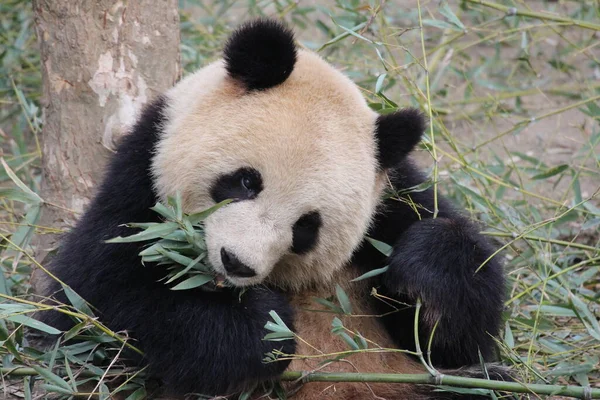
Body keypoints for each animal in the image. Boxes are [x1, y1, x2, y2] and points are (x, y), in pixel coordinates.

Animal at [42, 19, 508, 400]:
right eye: (247, 182)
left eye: (307, 226)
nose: (238, 262)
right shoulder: (140, 178)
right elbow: (95, 299)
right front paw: (262, 326)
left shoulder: (391, 201)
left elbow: (455, 342)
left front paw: (424, 269)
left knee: (483, 385)